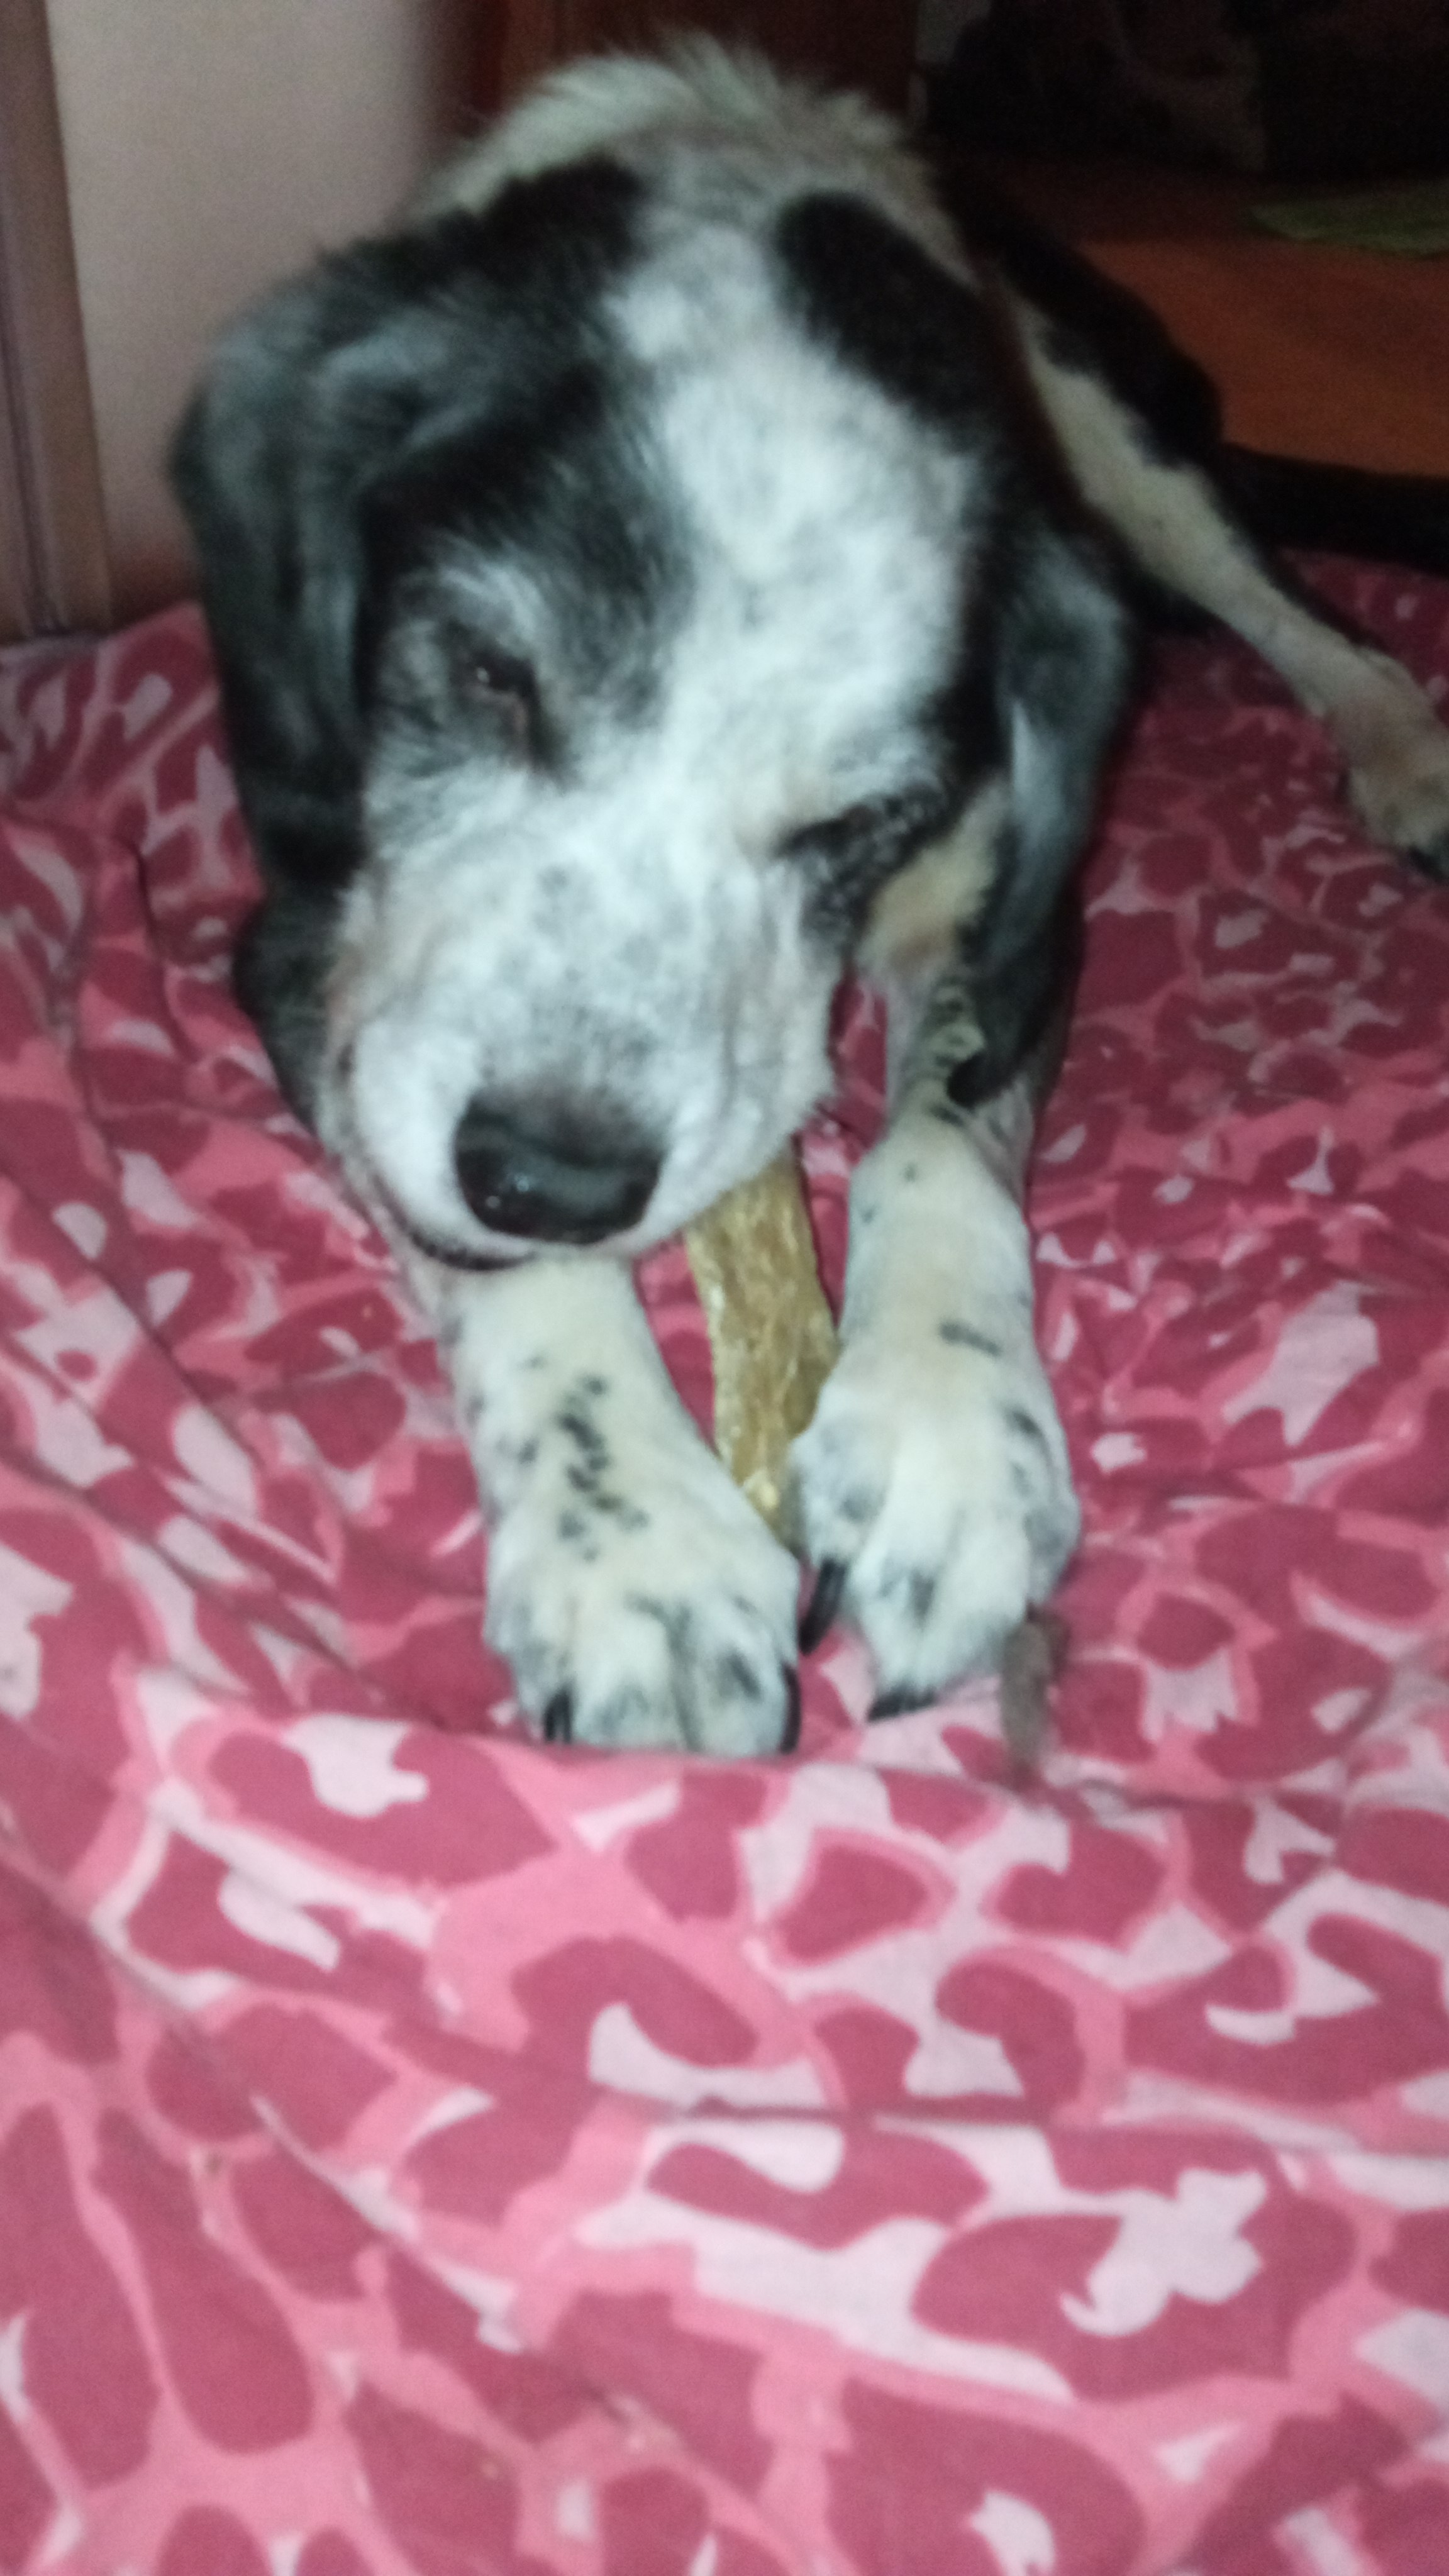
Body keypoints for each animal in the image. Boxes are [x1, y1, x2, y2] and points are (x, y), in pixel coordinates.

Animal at [172, 41, 1449, 1757]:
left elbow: (938, 1136)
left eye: (863, 814)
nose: (554, 1174)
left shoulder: (1009, 895)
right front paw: (634, 1548)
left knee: (1294, 603)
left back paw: (1404, 748)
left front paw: (949, 1438)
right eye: (490, 671)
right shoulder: (312, 939)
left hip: (1116, 427)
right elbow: (496, 1247)